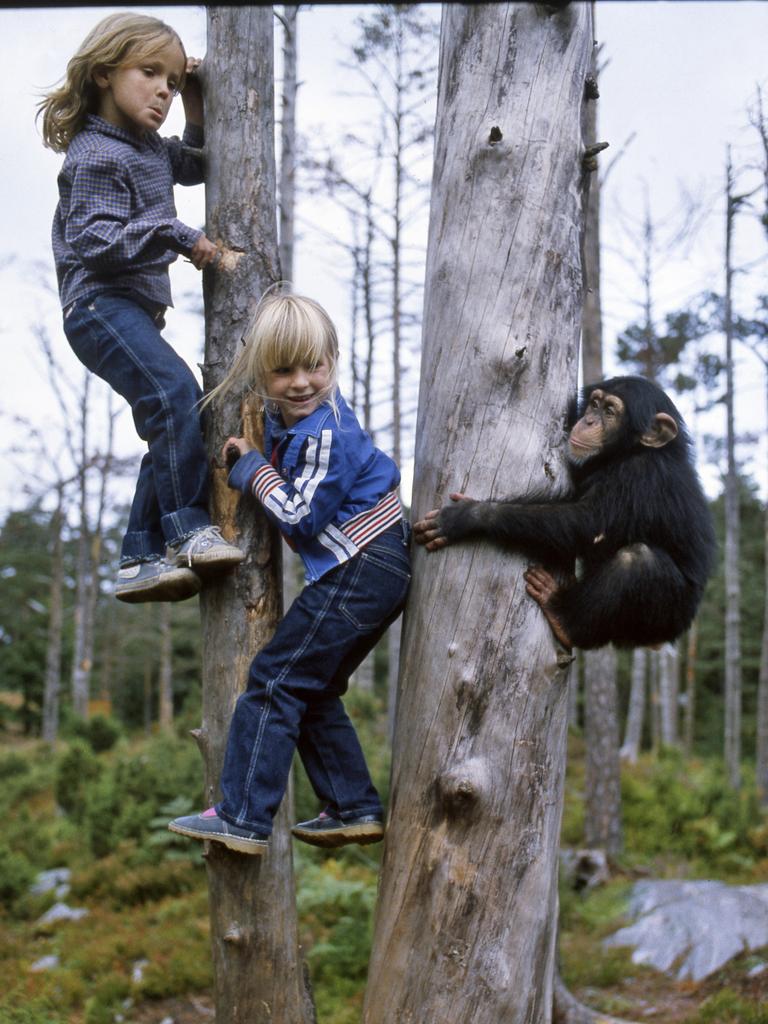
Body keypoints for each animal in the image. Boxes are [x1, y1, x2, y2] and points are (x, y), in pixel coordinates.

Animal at [411, 376, 720, 647]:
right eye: (595, 404)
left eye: (610, 411)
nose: (590, 420)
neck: (628, 453)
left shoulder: (641, 474)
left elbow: (588, 522)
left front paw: (470, 516)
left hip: (667, 616)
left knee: (637, 560)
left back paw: (564, 619)